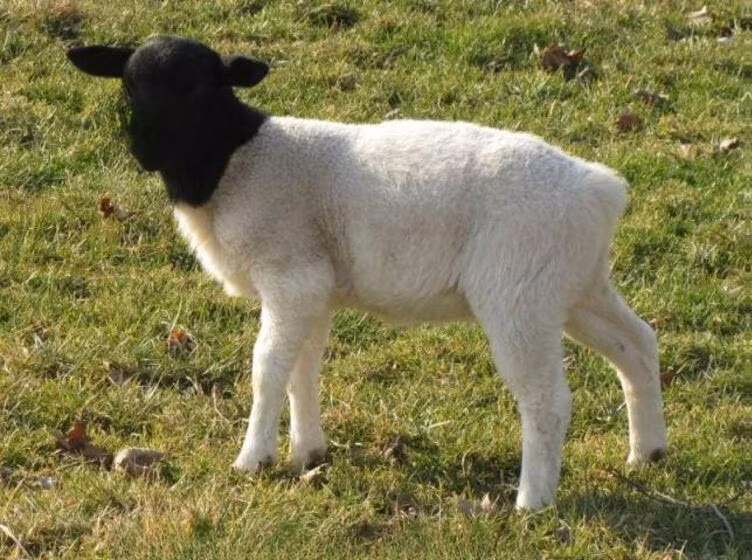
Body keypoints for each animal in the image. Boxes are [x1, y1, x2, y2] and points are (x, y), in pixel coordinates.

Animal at [67, 35, 667, 510]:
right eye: (128, 85)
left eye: (196, 88)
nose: (142, 149)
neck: (233, 162)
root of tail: (600, 190)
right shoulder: (314, 287)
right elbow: (304, 367)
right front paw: (308, 452)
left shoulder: (291, 275)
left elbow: (268, 368)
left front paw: (253, 458)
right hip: (573, 285)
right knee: (637, 344)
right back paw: (649, 451)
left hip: (518, 292)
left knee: (546, 399)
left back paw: (533, 501)